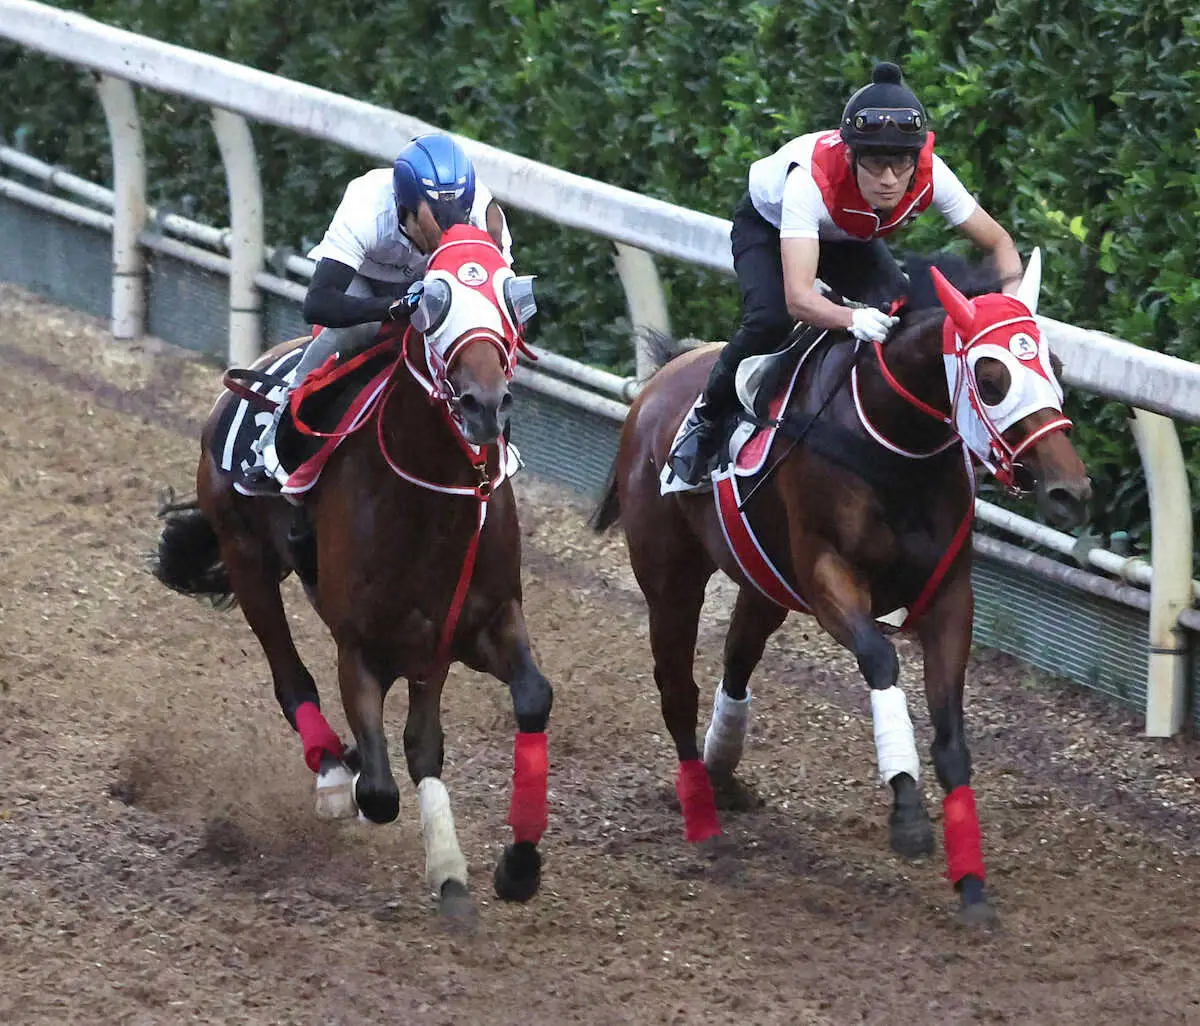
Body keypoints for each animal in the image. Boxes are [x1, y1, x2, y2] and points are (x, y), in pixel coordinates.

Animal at [152, 226, 554, 921]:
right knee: (292, 680)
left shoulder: (478, 624)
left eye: (511, 293)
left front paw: (513, 867)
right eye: (432, 303)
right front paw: (359, 781)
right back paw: (332, 768)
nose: (484, 405)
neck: (433, 502)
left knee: (421, 739)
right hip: (247, 558)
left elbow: (528, 700)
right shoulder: (361, 647)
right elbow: (381, 792)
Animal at [595, 253, 1094, 926]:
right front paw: (907, 816)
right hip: (670, 577)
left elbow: (951, 733)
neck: (897, 441)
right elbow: (881, 660)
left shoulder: (950, 597)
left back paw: (724, 777)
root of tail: (659, 383)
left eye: (1056, 366)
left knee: (737, 662)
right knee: (678, 687)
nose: (1071, 490)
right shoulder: (829, 578)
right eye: (992, 377)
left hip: (763, 582)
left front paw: (971, 885)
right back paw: (702, 813)